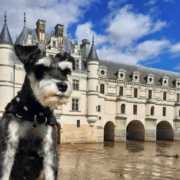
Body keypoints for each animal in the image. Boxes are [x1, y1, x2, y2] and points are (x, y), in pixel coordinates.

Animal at [0, 44, 75, 180]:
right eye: (41, 69)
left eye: (66, 71)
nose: (63, 86)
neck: (34, 113)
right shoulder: (8, 146)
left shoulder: (49, 150)